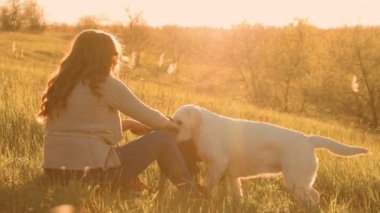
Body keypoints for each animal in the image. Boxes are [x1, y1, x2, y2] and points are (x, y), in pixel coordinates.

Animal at [172, 104, 368, 205]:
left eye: (179, 122)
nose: (171, 130)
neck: (201, 128)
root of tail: (308, 139)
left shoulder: (218, 164)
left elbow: (208, 187)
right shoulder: (232, 176)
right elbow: (237, 194)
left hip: (296, 181)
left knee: (313, 197)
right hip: (300, 182)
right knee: (315, 195)